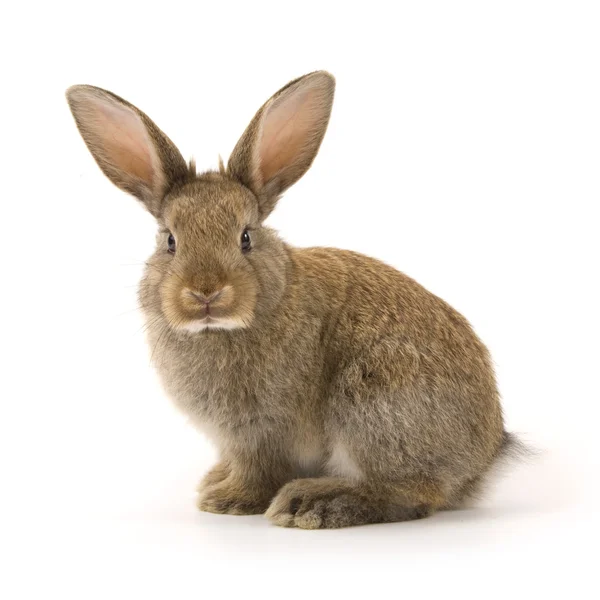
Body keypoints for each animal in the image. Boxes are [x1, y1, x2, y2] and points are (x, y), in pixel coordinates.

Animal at [65, 71, 520, 528]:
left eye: (246, 237)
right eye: (170, 241)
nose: (205, 292)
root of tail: (482, 461)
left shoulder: (262, 432)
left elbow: (258, 468)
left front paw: (228, 500)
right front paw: (214, 483)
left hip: (372, 401)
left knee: (413, 493)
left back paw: (312, 503)